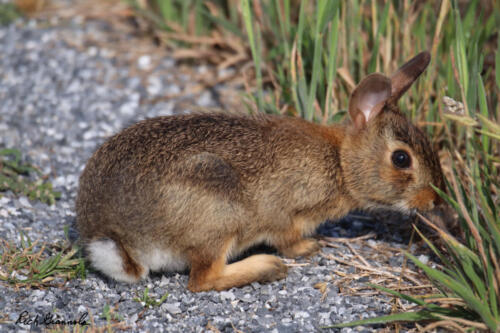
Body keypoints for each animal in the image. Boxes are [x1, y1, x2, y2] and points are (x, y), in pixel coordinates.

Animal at [76, 52, 444, 290]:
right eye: (401, 159)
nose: (435, 201)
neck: (340, 162)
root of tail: (119, 240)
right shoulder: (283, 212)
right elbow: (286, 238)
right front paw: (309, 248)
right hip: (218, 215)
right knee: (202, 280)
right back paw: (268, 267)